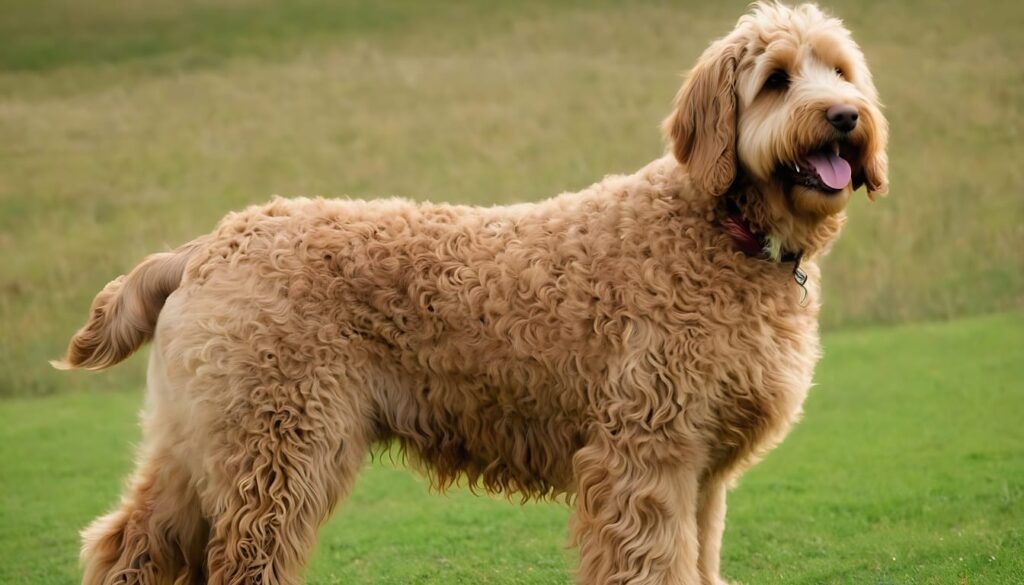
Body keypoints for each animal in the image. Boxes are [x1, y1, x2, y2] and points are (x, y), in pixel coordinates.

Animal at [58, 2, 888, 581]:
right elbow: (652, 564)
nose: (846, 117)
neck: (721, 229)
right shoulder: (644, 459)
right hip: (278, 447)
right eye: (776, 80)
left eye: (841, 71)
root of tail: (209, 242)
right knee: (235, 559)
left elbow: (698, 560)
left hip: (205, 442)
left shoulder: (702, 470)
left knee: (128, 542)